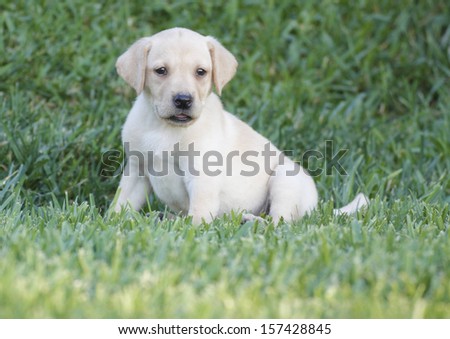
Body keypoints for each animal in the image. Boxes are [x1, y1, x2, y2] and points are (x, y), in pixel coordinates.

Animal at [111, 27, 366, 224]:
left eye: (201, 72)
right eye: (161, 71)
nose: (183, 100)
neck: (166, 129)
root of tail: (317, 208)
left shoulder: (202, 177)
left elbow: (197, 215)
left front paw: (190, 232)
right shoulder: (137, 169)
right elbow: (120, 204)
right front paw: (110, 225)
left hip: (285, 179)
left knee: (281, 224)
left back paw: (251, 221)